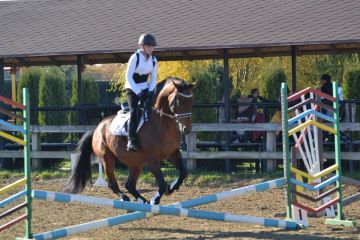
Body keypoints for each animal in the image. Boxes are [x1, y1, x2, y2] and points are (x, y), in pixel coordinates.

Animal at [63, 78, 195, 204]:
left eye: (191, 102)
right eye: (178, 100)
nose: (187, 129)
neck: (162, 123)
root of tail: (97, 129)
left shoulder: (173, 153)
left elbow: (183, 173)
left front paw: (171, 188)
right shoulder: (152, 161)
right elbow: (162, 184)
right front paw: (155, 199)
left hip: (135, 162)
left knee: (130, 185)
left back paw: (142, 200)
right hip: (107, 159)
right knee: (113, 183)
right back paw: (125, 198)